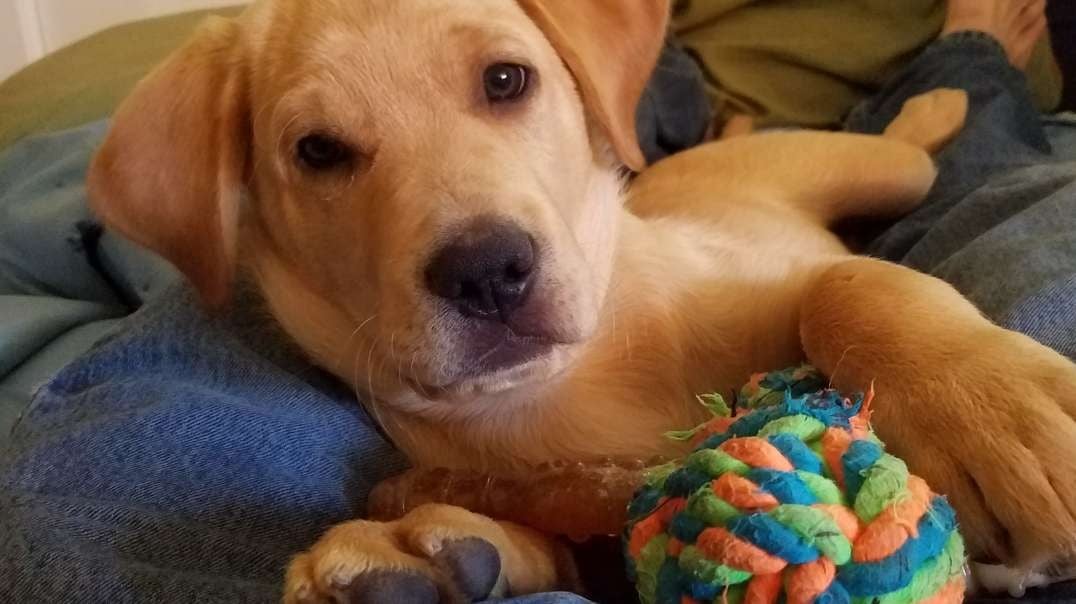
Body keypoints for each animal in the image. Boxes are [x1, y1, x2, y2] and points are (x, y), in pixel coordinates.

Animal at [86, 0, 1076, 598]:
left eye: (506, 80)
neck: (574, 380)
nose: (488, 271)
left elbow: (846, 282)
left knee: (904, 139)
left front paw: (994, 417)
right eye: (317, 152)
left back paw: (946, 90)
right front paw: (418, 553)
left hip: (882, 169)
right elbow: (549, 544)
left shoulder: (770, 286)